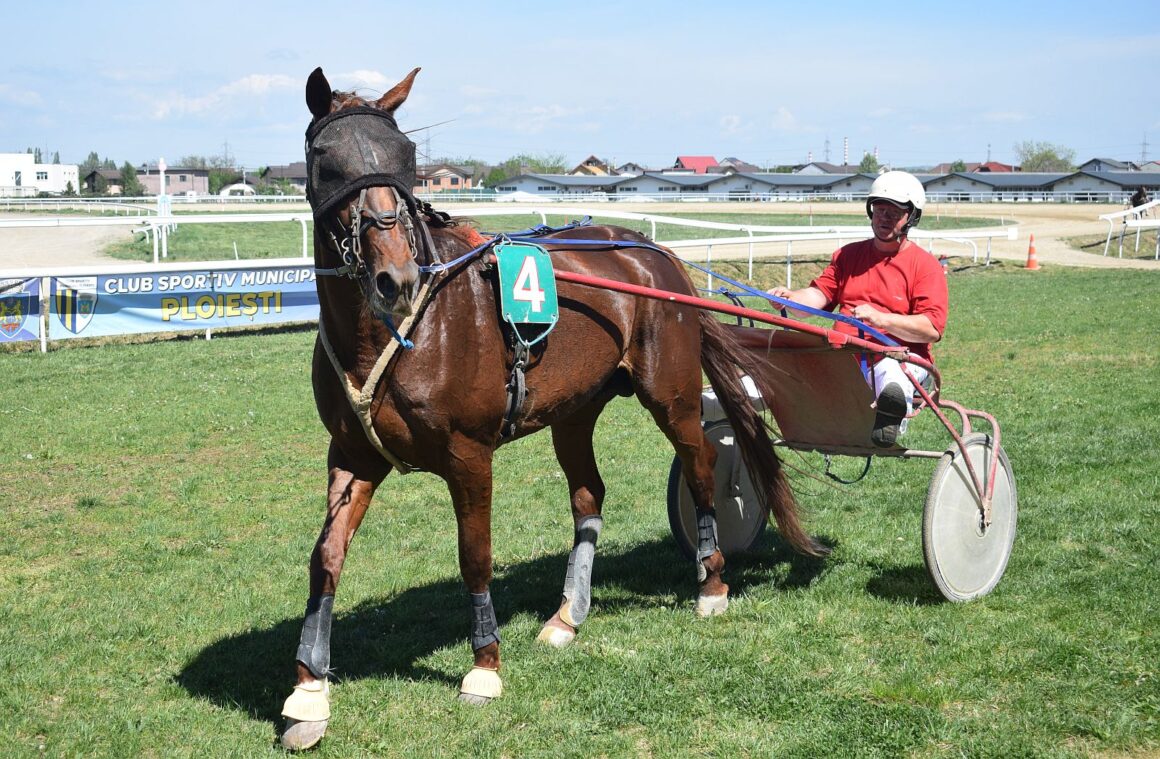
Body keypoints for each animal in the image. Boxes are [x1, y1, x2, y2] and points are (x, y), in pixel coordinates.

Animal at [279, 67, 825, 756]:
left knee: (701, 462)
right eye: (328, 160)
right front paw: (308, 688)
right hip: (574, 413)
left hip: (671, 396)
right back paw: (569, 614)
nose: (394, 276)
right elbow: (325, 558)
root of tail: (654, 252)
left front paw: (484, 666)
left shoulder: (469, 454)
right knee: (589, 495)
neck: (400, 329)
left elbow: (475, 555)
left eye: (405, 157)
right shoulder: (353, 455)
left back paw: (712, 583)